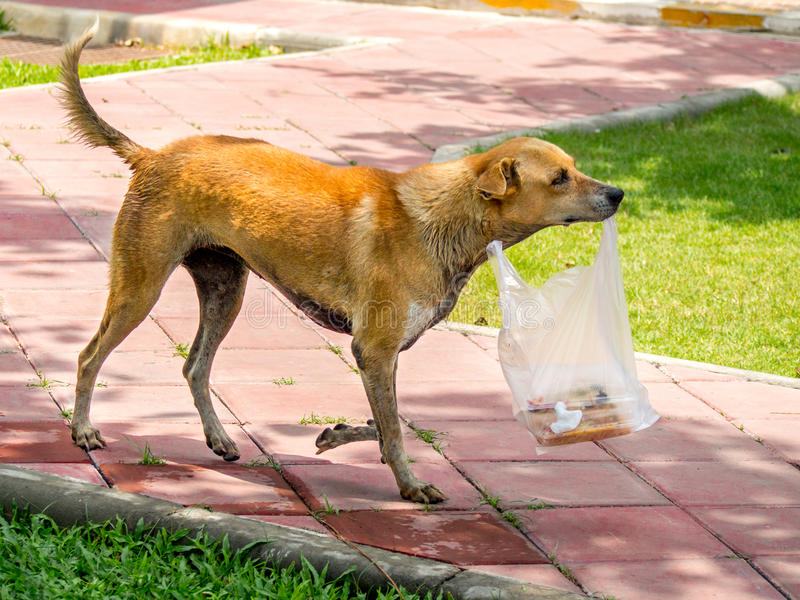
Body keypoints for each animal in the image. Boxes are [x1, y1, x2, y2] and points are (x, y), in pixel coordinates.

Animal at [61, 25, 624, 504]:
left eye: (575, 168)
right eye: (559, 179)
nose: (618, 194)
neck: (444, 216)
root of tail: (152, 156)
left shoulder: (383, 353)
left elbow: (388, 421)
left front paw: (337, 437)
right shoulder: (373, 347)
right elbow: (393, 428)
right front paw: (410, 485)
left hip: (225, 291)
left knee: (194, 367)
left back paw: (219, 439)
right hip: (140, 288)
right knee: (89, 357)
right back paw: (83, 430)